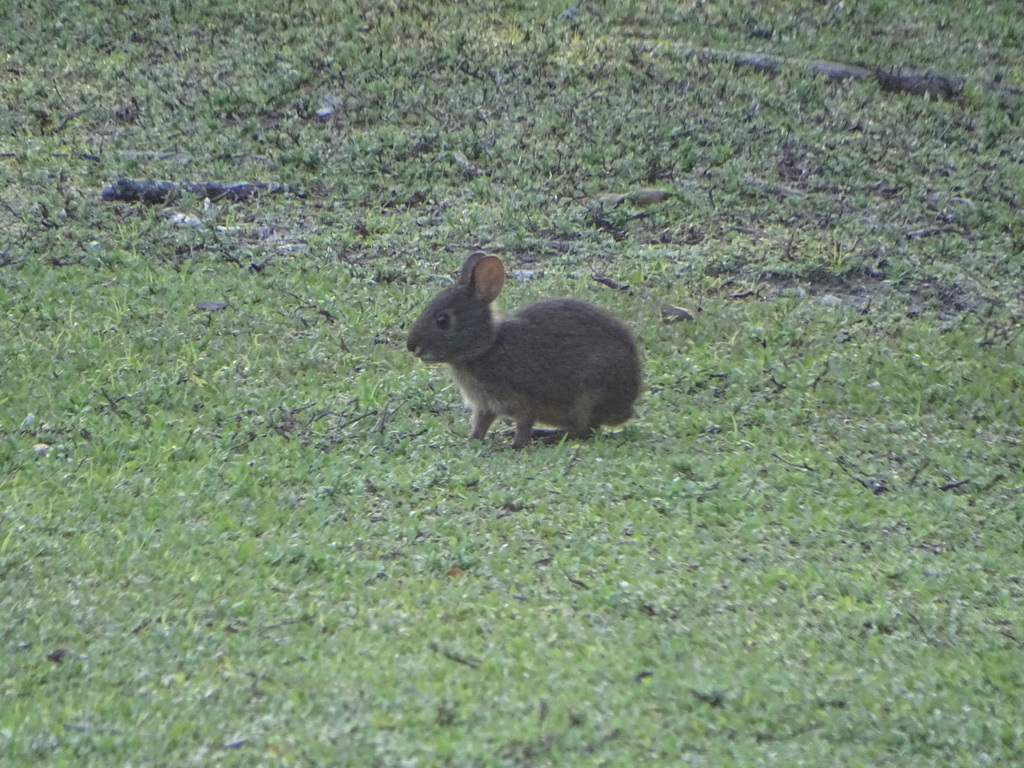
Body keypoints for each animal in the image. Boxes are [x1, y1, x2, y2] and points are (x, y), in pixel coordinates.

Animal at [406, 252, 642, 449]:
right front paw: (470, 441)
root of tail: (627, 404)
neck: (487, 347)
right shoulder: (485, 406)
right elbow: (481, 425)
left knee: (585, 429)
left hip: (591, 392)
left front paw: (517, 445)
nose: (411, 346)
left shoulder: (525, 400)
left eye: (442, 320)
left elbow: (524, 423)